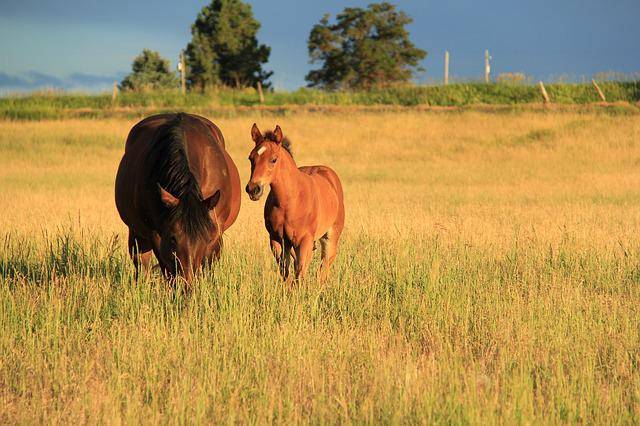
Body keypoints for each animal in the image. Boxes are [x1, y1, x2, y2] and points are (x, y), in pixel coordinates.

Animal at [114, 113, 240, 282]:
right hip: (136, 233)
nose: (187, 283)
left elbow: (207, 268)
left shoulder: (215, 234)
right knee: (142, 266)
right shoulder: (157, 234)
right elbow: (166, 268)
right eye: (173, 238)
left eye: (205, 239)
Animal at [245, 123, 344, 282]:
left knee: (323, 269)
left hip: (330, 238)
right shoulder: (277, 240)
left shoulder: (304, 241)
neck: (290, 201)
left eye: (274, 159)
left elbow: (300, 273)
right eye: (250, 158)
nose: (253, 189)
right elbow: (285, 272)